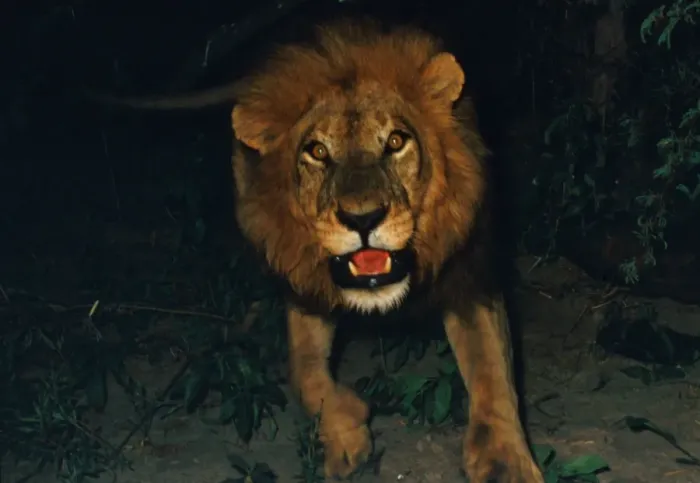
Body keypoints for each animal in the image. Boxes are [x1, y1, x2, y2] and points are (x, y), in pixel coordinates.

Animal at [89, 19, 544, 483]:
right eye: (318, 151)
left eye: (396, 141)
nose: (363, 219)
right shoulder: (303, 284)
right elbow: (304, 373)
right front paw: (348, 430)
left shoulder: (471, 274)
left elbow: (493, 371)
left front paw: (506, 462)